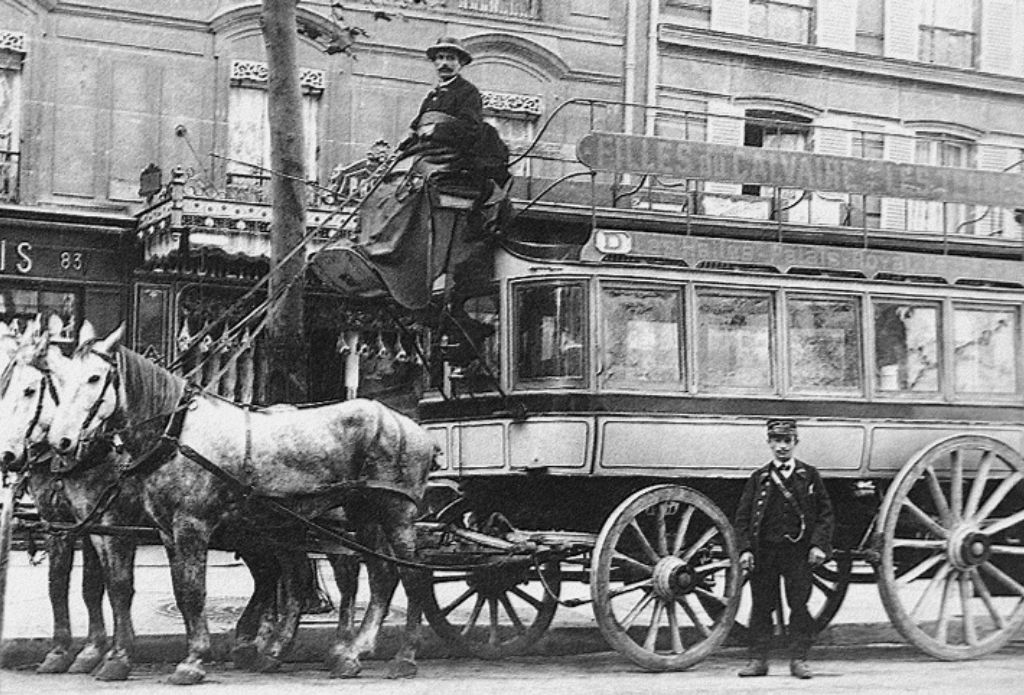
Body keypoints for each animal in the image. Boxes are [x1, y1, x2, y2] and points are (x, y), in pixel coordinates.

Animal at [48, 325, 434, 683]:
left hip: (396, 512)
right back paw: (351, 652)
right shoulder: (166, 530)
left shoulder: (190, 525)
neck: (177, 433)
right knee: (381, 574)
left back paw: (404, 656)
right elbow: (166, 588)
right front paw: (121, 659)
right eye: (58, 380)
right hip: (361, 512)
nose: (61, 441)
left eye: (94, 377)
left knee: (412, 576)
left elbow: (192, 592)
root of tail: (409, 424)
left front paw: (192, 660)